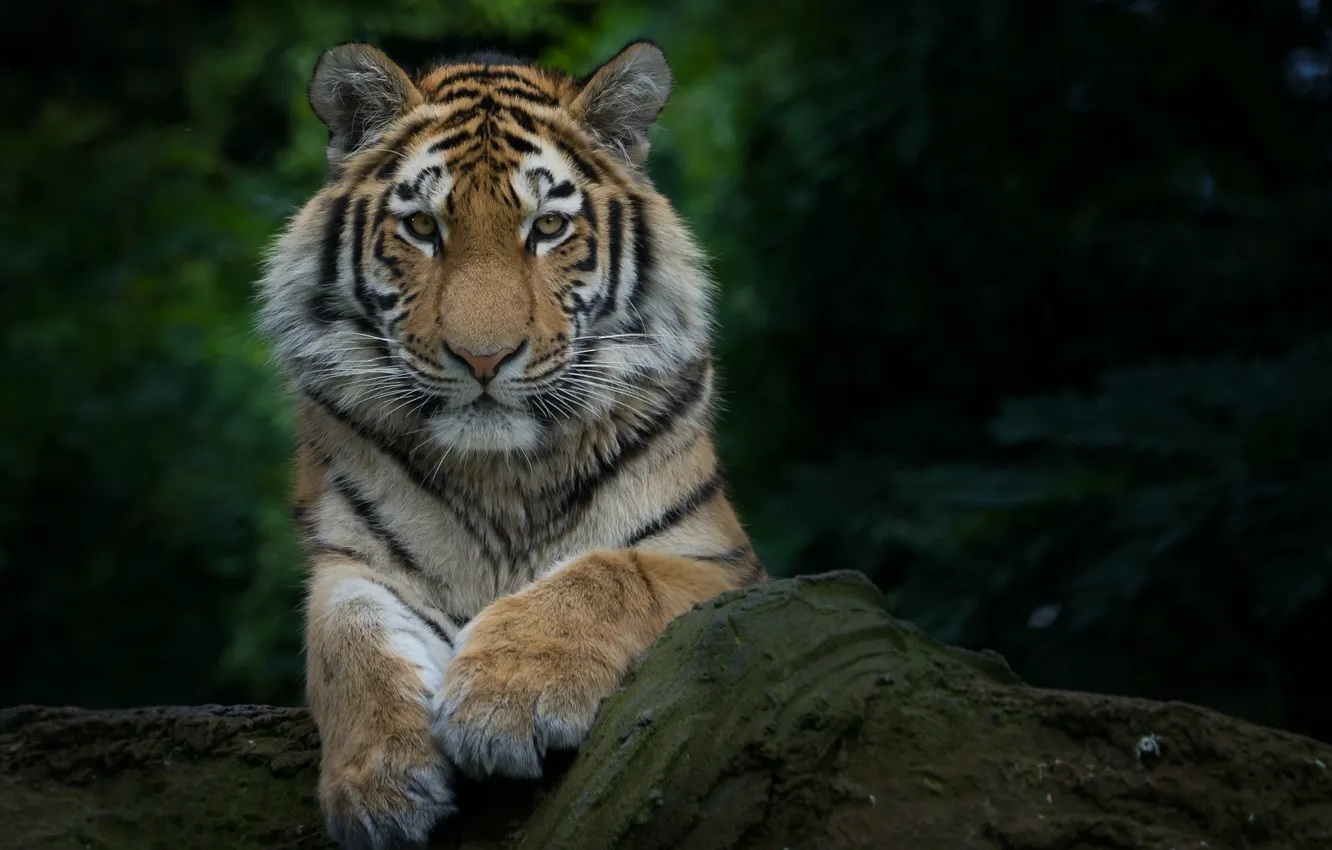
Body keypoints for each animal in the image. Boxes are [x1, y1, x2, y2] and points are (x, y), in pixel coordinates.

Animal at [254, 38, 766, 849]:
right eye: (423, 228)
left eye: (548, 229)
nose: (484, 358)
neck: (501, 476)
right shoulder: (355, 560)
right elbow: (348, 642)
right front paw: (377, 787)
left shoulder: (724, 565)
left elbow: (608, 572)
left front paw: (505, 701)